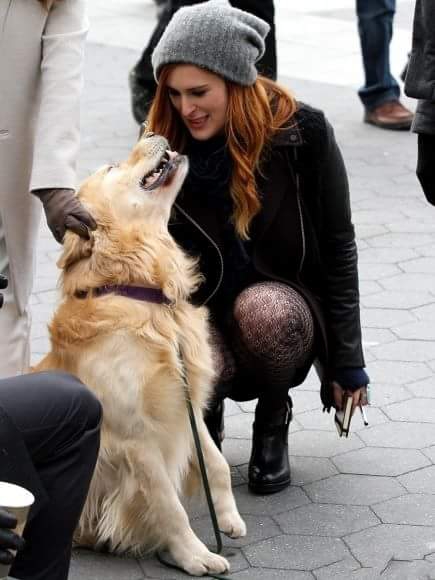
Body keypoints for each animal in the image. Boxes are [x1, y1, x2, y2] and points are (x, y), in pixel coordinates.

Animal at [33, 133, 245, 576]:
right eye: (113, 167)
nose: (152, 133)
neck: (144, 292)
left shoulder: (185, 406)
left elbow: (216, 465)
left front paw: (229, 519)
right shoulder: (136, 438)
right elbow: (168, 505)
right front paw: (194, 556)